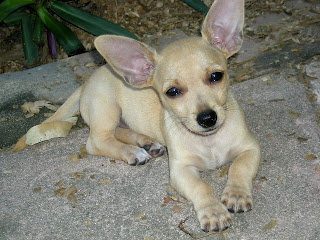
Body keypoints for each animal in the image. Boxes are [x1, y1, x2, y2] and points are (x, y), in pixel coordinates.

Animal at [15, 0, 260, 232]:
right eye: (172, 92)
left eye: (216, 76)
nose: (207, 118)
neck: (209, 141)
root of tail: (87, 82)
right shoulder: (180, 170)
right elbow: (202, 186)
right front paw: (213, 212)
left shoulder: (251, 148)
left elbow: (239, 167)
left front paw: (236, 193)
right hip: (107, 108)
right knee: (96, 141)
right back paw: (132, 152)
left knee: (120, 131)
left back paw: (147, 142)